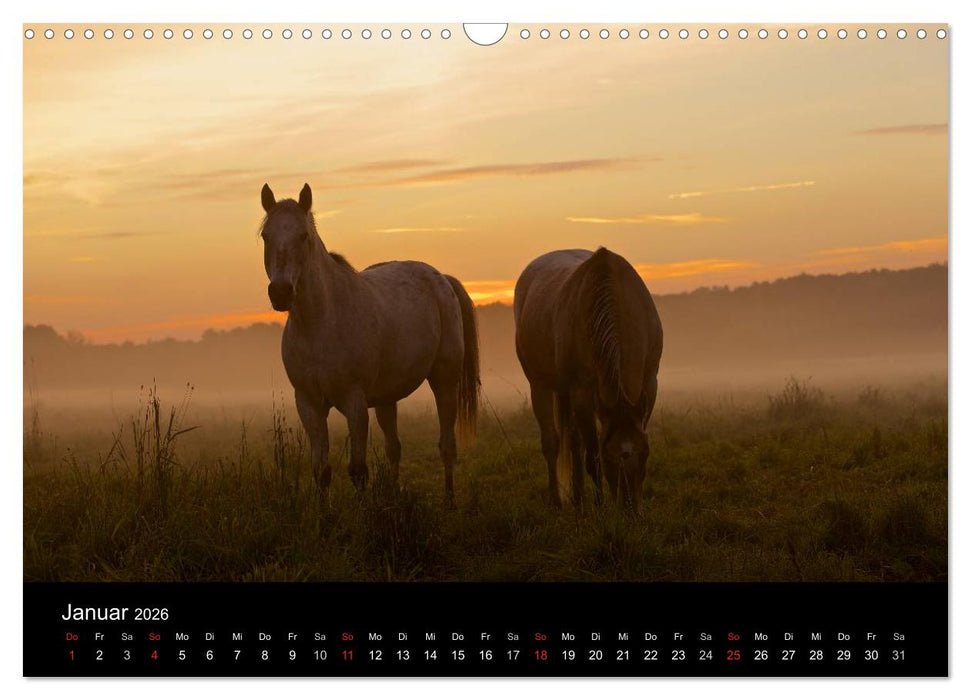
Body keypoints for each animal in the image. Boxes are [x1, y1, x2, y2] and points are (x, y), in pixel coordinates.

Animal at [257, 183, 479, 505]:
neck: (319, 324)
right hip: (387, 398)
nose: (281, 292)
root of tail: (441, 279)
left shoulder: (355, 403)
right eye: (266, 236)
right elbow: (321, 470)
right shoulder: (309, 403)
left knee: (446, 445)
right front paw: (324, 517)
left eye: (303, 236)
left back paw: (449, 502)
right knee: (394, 448)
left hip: (445, 382)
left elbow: (358, 471)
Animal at [514, 248, 662, 510]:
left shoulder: (649, 383)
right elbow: (592, 456)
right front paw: (600, 507)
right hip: (540, 386)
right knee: (553, 442)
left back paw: (578, 498)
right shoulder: (582, 391)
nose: (630, 509)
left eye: (644, 453)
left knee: (573, 441)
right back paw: (559, 502)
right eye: (609, 457)